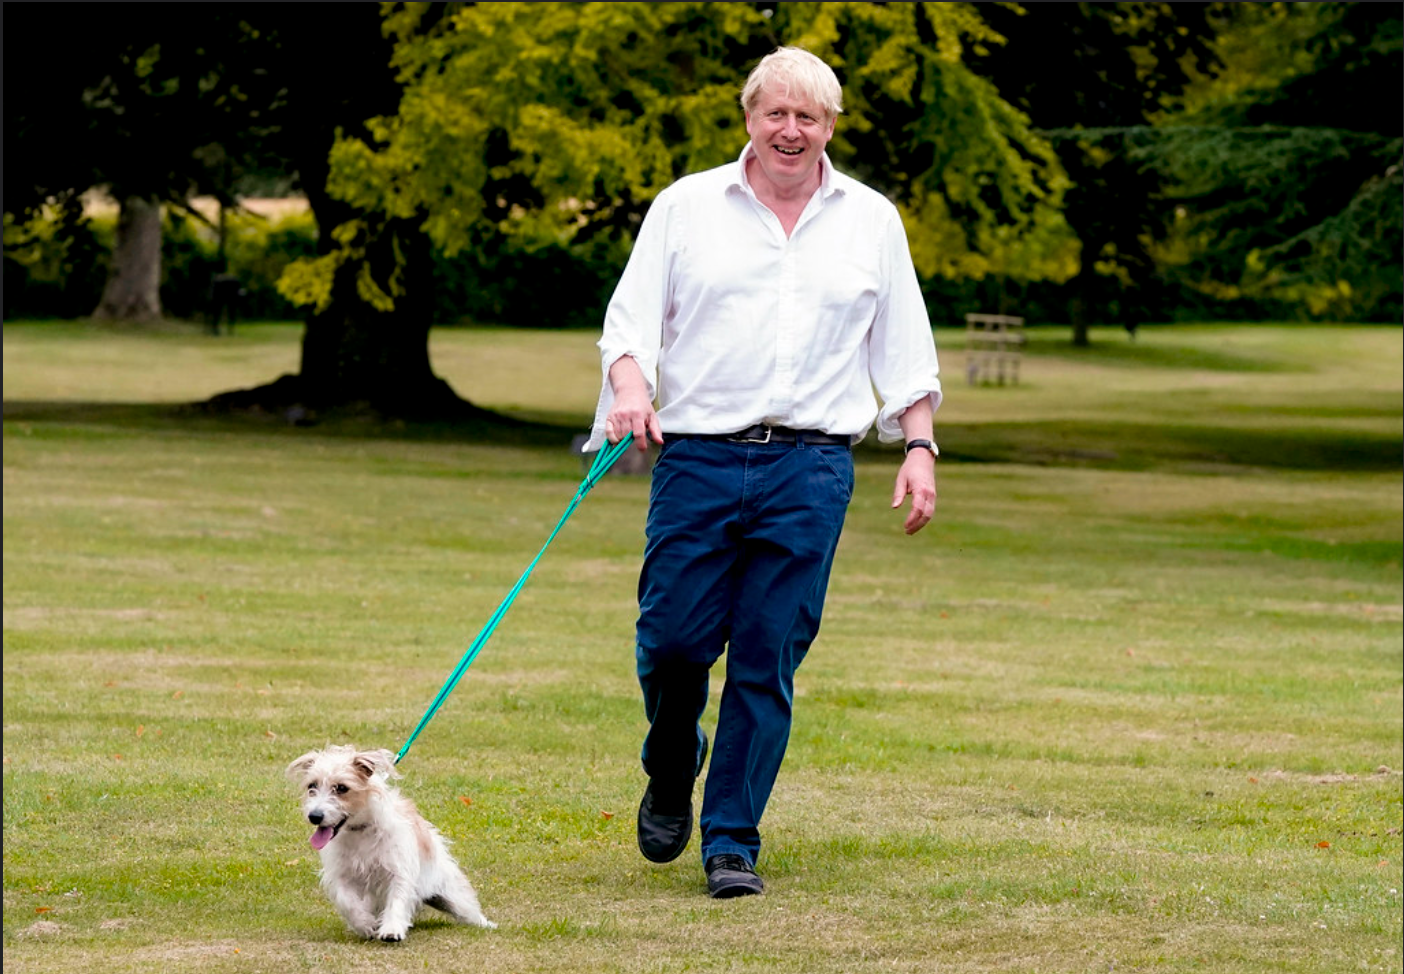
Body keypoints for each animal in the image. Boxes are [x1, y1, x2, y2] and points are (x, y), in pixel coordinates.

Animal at [283, 746, 494, 948]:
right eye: (312, 786)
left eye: (342, 788)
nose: (314, 816)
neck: (361, 831)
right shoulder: (341, 876)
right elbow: (347, 902)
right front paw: (365, 924)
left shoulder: (398, 872)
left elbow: (397, 901)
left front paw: (392, 929)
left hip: (453, 896)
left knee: (468, 911)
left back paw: (486, 924)